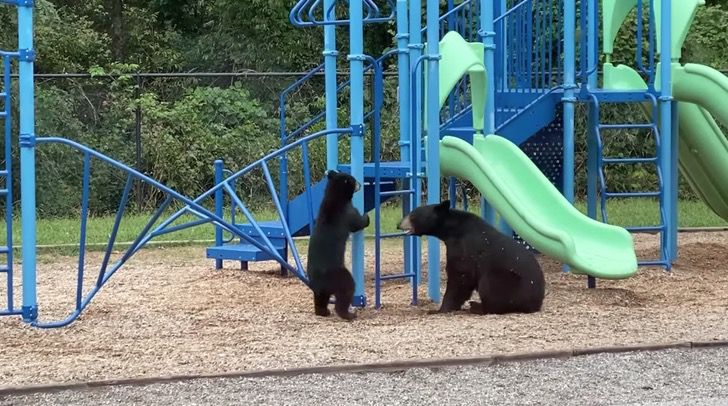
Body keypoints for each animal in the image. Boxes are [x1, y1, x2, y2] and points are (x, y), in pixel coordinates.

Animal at [306, 168, 370, 320]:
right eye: (354, 180)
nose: (360, 184)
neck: (334, 197)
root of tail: (321, 282)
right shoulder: (347, 212)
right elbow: (357, 222)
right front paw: (366, 217)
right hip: (340, 276)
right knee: (347, 291)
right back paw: (348, 314)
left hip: (319, 288)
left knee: (320, 299)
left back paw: (323, 312)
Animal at [396, 201, 544, 316]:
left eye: (413, 214)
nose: (398, 224)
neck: (452, 230)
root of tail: (535, 304)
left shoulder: (463, 247)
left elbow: (460, 275)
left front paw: (439, 309)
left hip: (509, 281)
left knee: (490, 284)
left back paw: (476, 306)